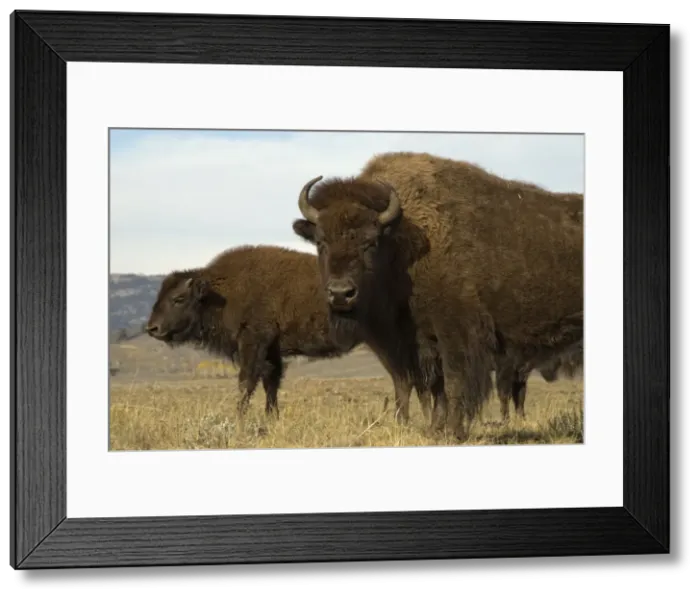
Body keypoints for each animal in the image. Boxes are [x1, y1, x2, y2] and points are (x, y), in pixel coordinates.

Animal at [292, 151, 583, 441]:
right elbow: (435, 388)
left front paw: (453, 432)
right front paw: (435, 429)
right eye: (321, 242)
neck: (403, 244)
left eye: (370, 242)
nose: (341, 294)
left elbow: (453, 383)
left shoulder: (456, 333)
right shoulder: (422, 343)